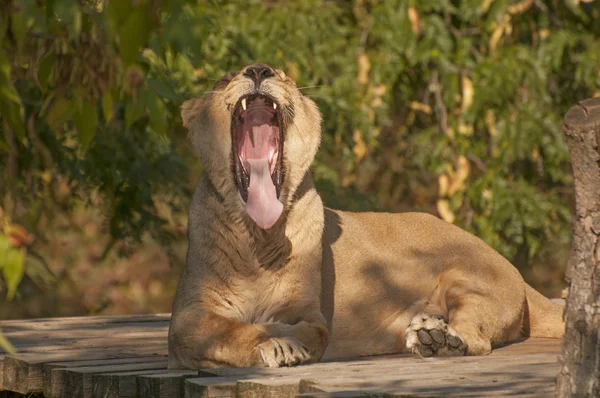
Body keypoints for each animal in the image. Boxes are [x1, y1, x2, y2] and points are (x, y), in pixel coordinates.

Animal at [166, 63, 564, 370]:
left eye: (282, 74)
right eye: (225, 78)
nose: (258, 70)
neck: (258, 237)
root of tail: (514, 270)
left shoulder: (308, 312)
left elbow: (308, 328)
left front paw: (287, 340)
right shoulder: (186, 320)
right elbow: (228, 331)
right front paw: (276, 342)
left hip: (469, 282)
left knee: (476, 338)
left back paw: (438, 339)